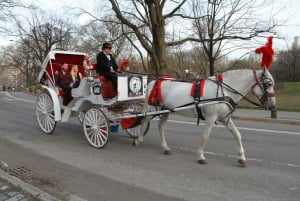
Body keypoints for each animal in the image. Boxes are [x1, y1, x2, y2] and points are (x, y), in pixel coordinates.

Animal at [135, 68, 276, 166]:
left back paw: (165, 147)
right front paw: (201, 156)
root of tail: (155, 81)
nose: (273, 105)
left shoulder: (225, 119)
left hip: (165, 110)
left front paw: (241, 157)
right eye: (268, 84)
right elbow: (206, 136)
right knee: (144, 120)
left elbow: (237, 134)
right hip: (154, 109)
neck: (224, 90)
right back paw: (138, 139)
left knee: (161, 126)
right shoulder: (211, 118)